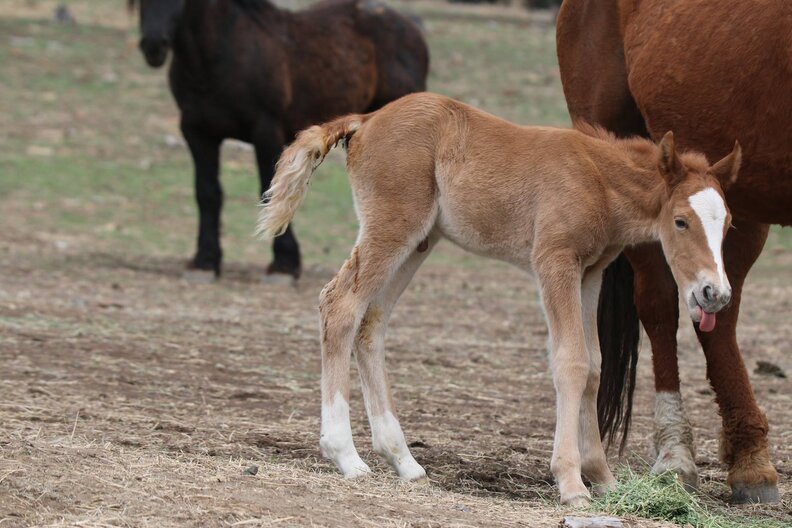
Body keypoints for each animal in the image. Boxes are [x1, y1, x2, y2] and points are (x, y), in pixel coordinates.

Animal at [130, 0, 428, 281]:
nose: (154, 45)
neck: (222, 53)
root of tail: (412, 27)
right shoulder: (198, 133)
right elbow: (207, 193)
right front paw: (205, 262)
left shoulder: (265, 132)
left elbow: (271, 192)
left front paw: (283, 265)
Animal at [256, 92, 741, 505]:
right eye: (680, 221)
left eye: (728, 224)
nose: (715, 293)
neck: (597, 178)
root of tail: (366, 119)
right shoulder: (554, 261)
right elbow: (571, 361)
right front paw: (571, 483)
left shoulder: (590, 273)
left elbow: (594, 366)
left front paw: (604, 479)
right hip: (394, 225)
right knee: (339, 304)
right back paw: (346, 456)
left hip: (419, 240)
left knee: (371, 322)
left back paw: (404, 460)